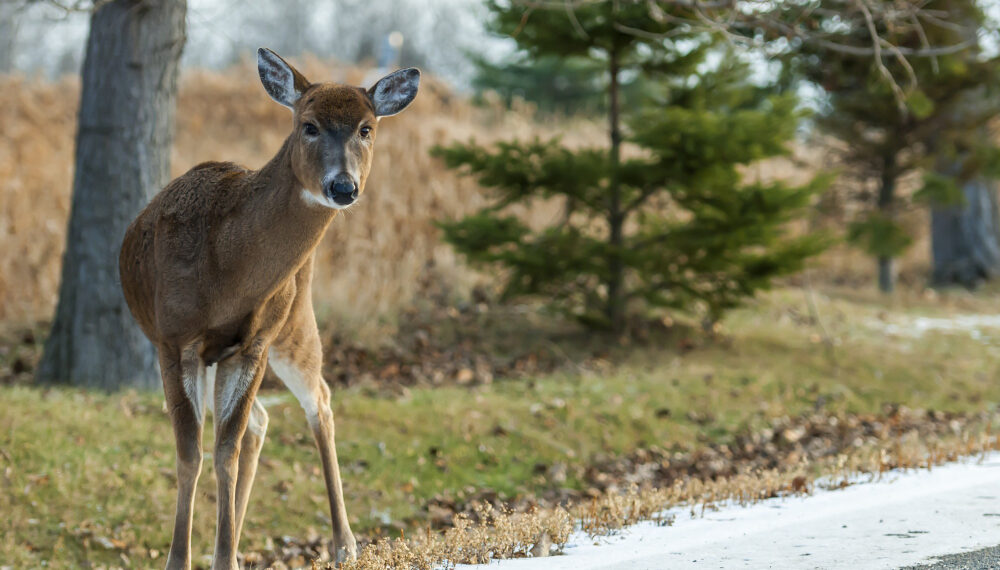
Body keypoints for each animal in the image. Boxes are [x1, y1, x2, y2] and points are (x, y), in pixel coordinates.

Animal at [119, 46, 420, 564]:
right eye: (309, 125)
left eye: (366, 128)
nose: (343, 187)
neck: (226, 271)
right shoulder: (174, 340)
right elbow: (192, 453)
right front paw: (186, 559)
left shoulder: (254, 343)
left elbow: (223, 451)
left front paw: (221, 559)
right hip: (222, 353)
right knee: (259, 422)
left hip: (294, 323)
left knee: (317, 401)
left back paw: (344, 544)